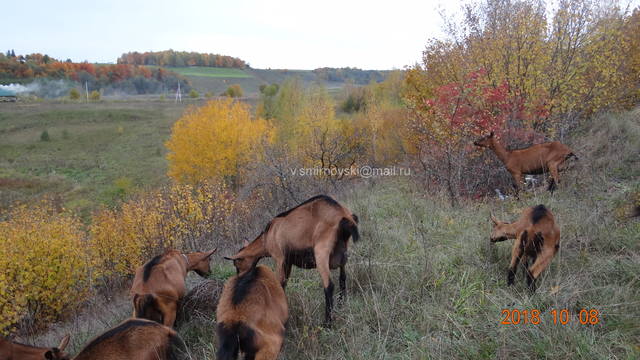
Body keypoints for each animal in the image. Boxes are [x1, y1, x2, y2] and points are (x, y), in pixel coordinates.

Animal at [222, 194, 358, 326]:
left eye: (236, 264)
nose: (239, 279)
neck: (267, 236)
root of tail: (343, 215)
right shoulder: (289, 262)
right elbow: (284, 283)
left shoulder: (280, 258)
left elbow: (280, 284)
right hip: (343, 251)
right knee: (342, 278)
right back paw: (342, 304)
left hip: (321, 252)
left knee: (329, 285)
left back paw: (327, 323)